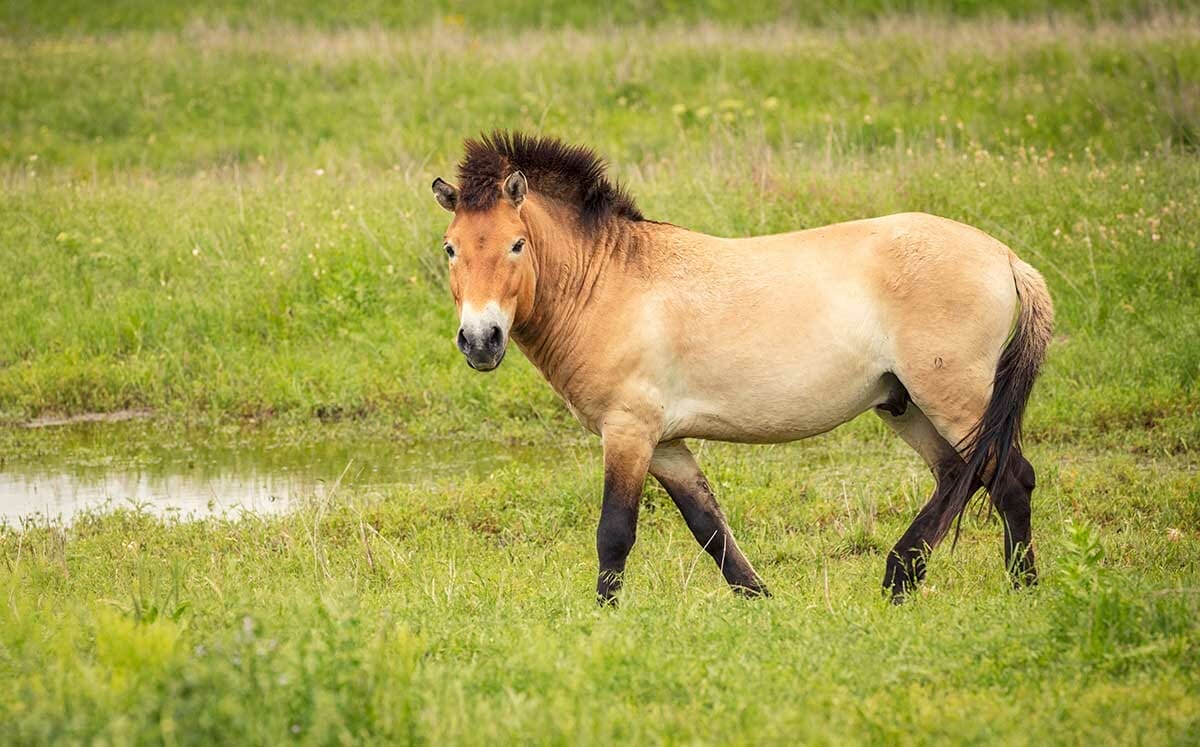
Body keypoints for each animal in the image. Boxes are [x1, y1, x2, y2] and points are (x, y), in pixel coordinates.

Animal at [432, 131, 1051, 605]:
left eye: (516, 244)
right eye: (450, 248)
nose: (481, 340)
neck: (610, 282)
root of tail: (1005, 258)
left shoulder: (628, 432)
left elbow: (615, 532)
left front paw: (604, 616)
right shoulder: (665, 445)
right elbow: (709, 527)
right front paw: (760, 600)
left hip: (954, 395)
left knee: (1009, 477)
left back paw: (1021, 588)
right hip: (904, 404)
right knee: (957, 475)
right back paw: (901, 579)